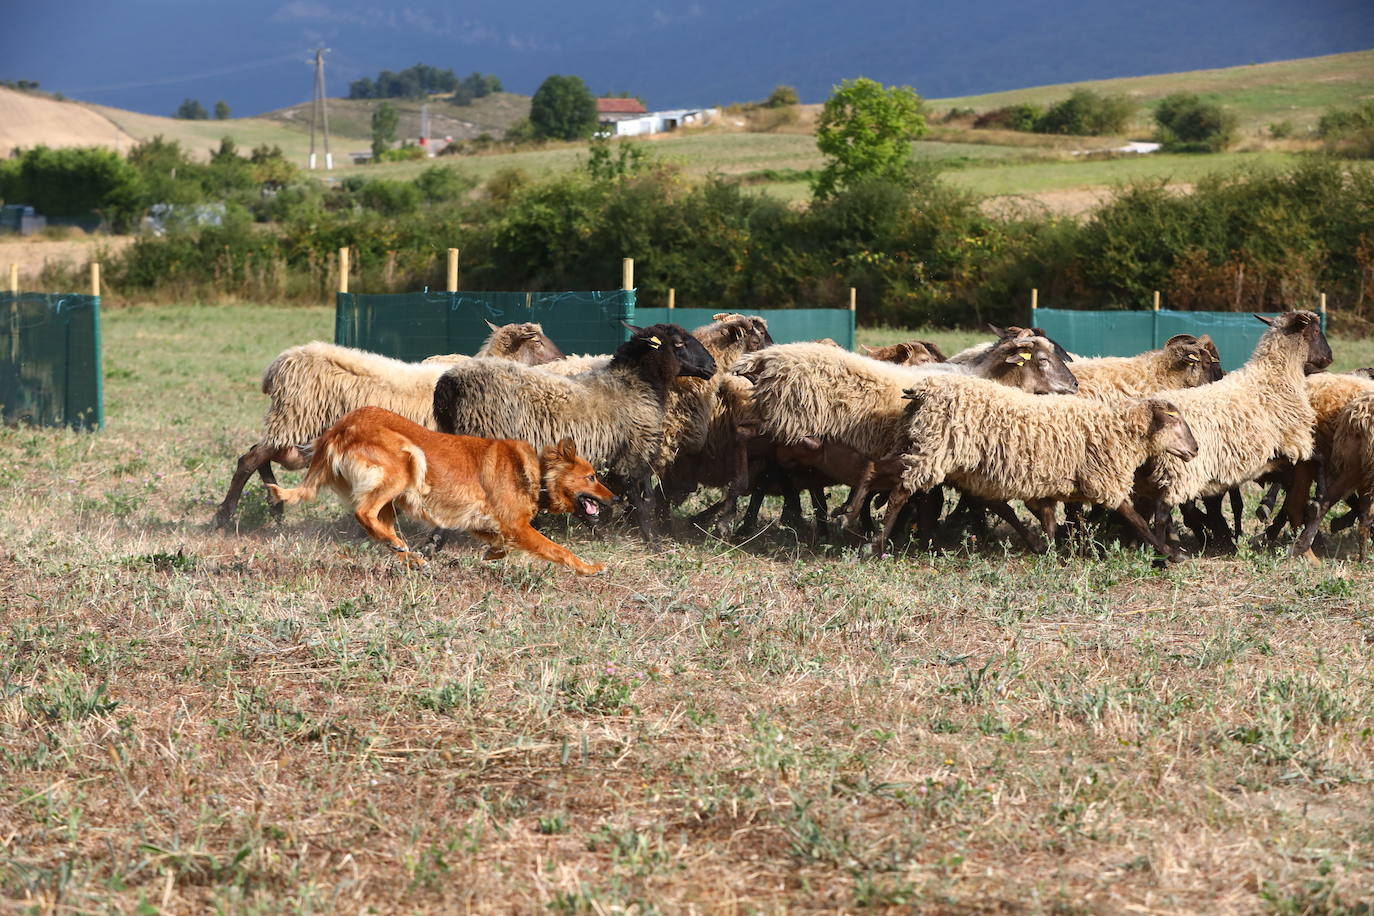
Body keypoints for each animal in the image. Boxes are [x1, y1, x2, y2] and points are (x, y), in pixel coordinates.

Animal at [267, 406, 612, 574]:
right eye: (592, 476)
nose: (617, 498)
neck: (537, 474)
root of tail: (339, 428)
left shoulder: (481, 523)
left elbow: (499, 543)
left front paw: (491, 553)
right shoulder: (516, 526)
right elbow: (558, 549)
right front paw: (588, 569)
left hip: (391, 499)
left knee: (379, 526)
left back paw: (409, 555)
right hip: (407, 461)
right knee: (363, 513)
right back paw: (399, 546)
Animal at [884, 373, 1198, 560]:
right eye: (1176, 422)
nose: (1195, 450)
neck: (1118, 430)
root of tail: (923, 390)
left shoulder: (1054, 482)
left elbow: (1055, 518)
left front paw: (1056, 550)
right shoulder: (1103, 479)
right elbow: (1136, 520)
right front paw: (1169, 553)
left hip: (949, 460)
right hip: (933, 453)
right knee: (900, 493)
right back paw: (877, 546)